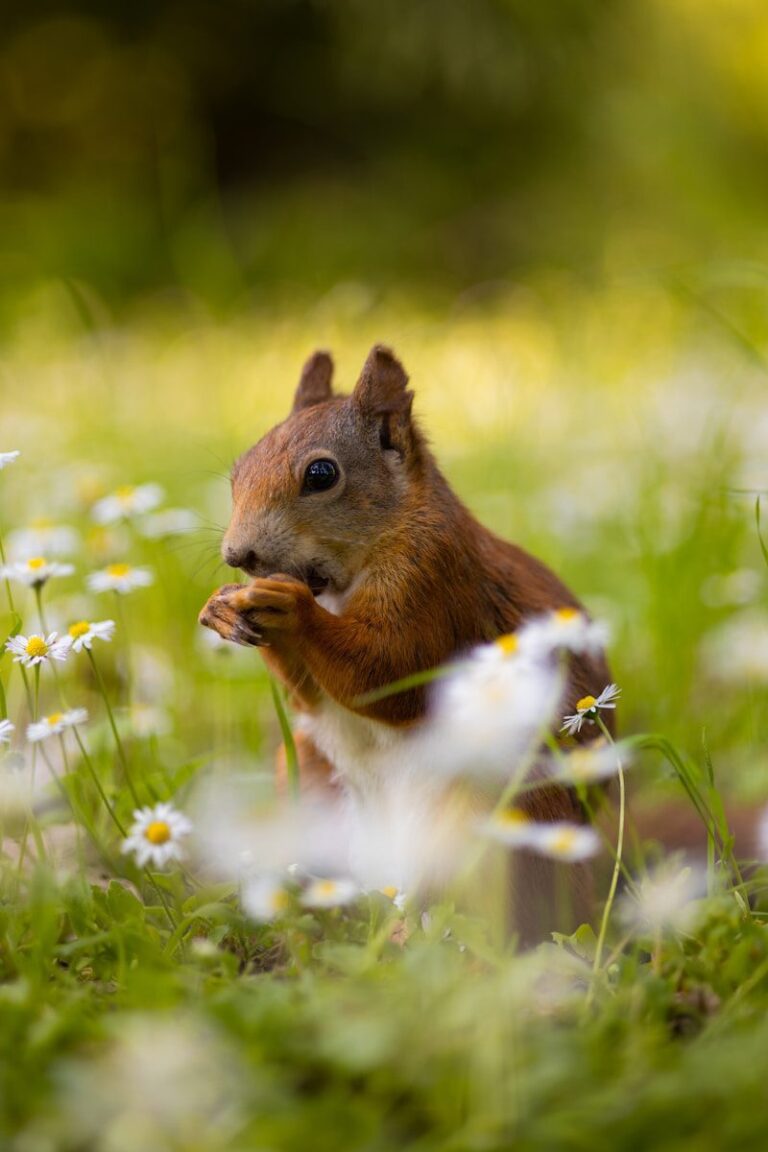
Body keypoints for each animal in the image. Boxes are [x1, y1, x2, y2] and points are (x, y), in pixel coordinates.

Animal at [199, 345, 614, 941]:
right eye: (238, 470)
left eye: (321, 474)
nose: (238, 555)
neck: (341, 582)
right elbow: (311, 697)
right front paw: (221, 607)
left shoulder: (431, 579)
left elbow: (388, 674)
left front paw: (290, 607)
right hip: (311, 782)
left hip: (495, 815)